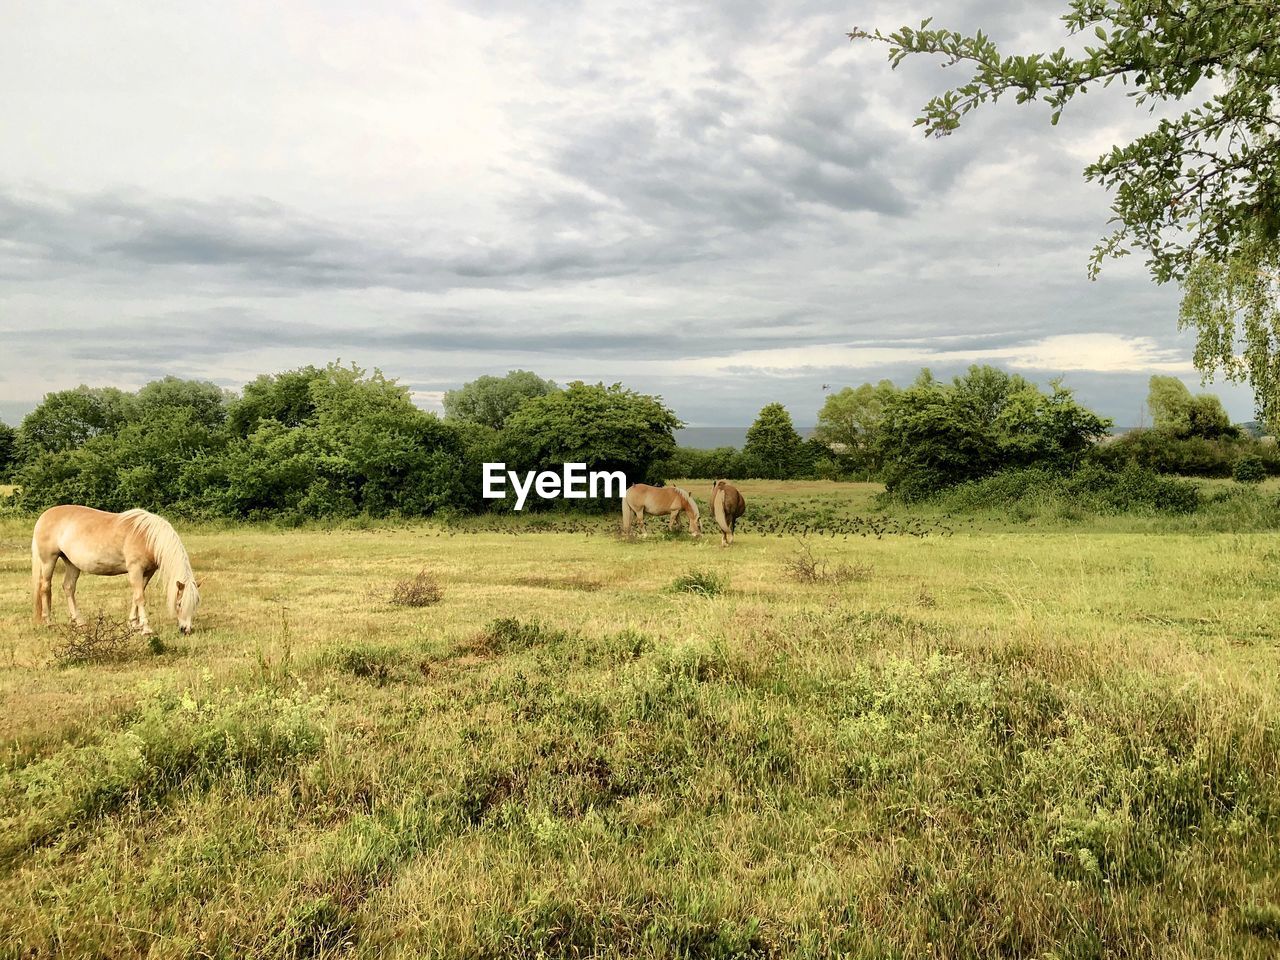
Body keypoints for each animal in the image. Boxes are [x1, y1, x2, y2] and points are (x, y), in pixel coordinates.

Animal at [31, 506, 199, 634]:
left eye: (195, 604)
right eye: (179, 604)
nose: (186, 630)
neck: (147, 537)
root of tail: (44, 516)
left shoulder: (147, 572)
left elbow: (136, 596)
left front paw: (133, 624)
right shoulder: (135, 569)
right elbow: (140, 598)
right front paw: (145, 628)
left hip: (72, 563)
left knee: (68, 587)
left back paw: (80, 622)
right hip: (49, 560)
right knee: (45, 587)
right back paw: (49, 622)